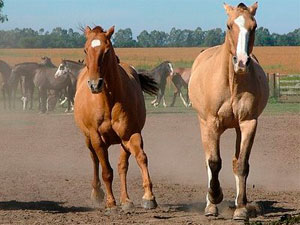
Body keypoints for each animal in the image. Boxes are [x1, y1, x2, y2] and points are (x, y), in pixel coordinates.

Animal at [74, 25, 159, 210]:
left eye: (106, 51)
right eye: (85, 50)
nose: (95, 84)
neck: (108, 100)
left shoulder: (131, 134)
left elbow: (141, 158)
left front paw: (148, 197)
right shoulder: (96, 138)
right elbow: (106, 171)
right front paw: (110, 202)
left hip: (122, 142)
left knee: (122, 166)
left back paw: (126, 200)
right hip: (88, 138)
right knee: (95, 160)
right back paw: (97, 193)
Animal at [189, 1, 268, 221]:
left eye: (254, 26)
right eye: (228, 25)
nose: (241, 61)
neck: (232, 83)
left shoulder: (248, 123)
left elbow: (241, 164)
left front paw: (241, 209)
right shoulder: (211, 124)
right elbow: (214, 163)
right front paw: (215, 197)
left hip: (237, 128)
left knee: (234, 162)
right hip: (203, 125)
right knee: (208, 162)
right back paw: (210, 205)